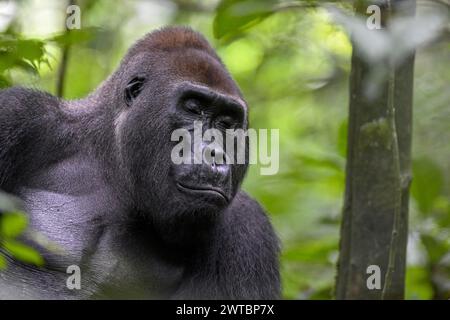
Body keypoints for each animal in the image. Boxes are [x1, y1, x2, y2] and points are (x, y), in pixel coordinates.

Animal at [0, 26, 282, 298]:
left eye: (226, 123)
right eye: (192, 108)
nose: (214, 154)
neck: (112, 163)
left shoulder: (248, 227)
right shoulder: (19, 114)